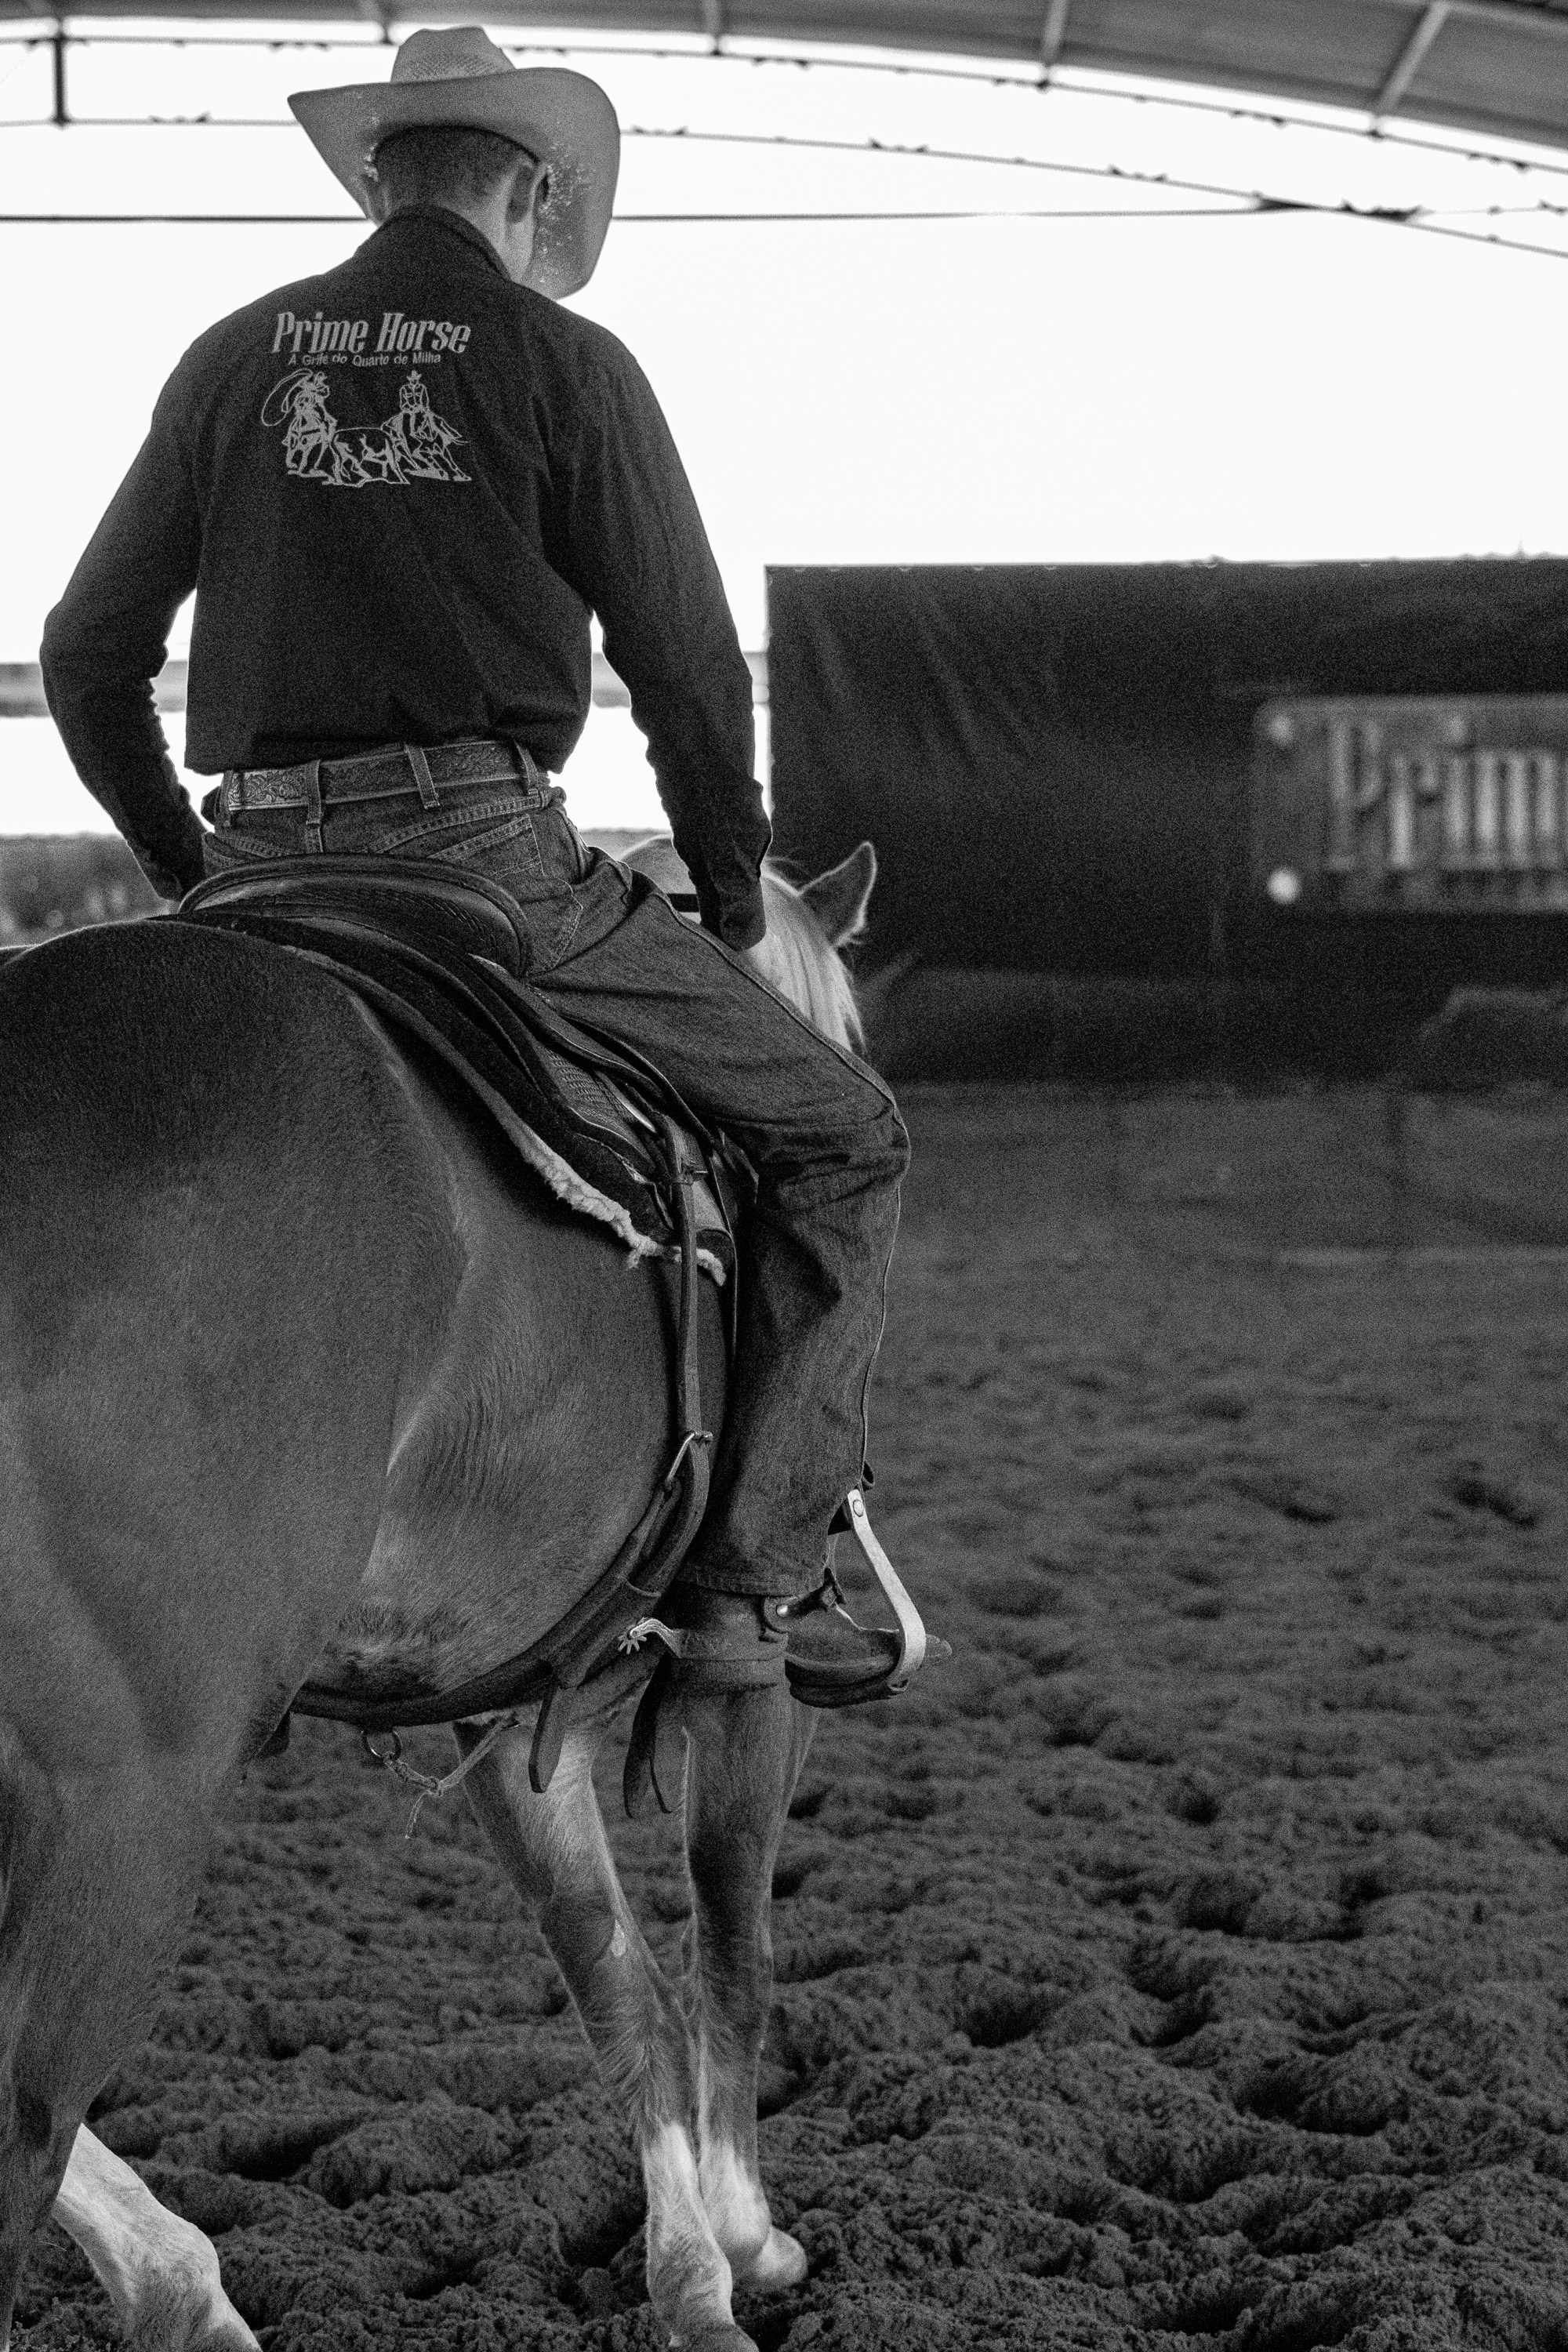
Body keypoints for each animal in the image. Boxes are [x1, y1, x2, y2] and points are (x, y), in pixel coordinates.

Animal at [0, 835, 879, 2352]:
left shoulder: (510, 1707)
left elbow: (613, 1975)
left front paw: (686, 2266)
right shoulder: (750, 1661)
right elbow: (734, 1940)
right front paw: (746, 2243)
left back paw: (183, 2285)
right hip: (126, 1798)